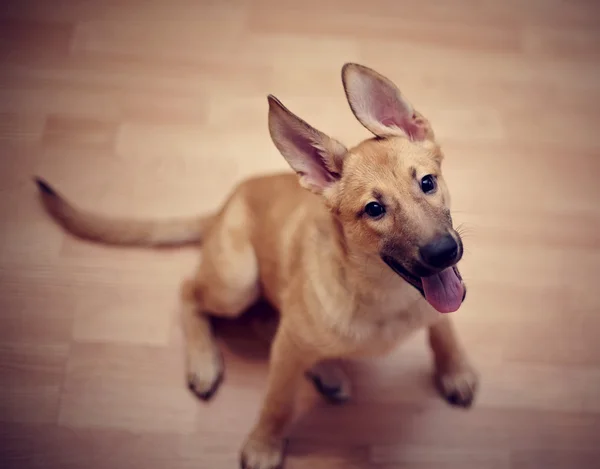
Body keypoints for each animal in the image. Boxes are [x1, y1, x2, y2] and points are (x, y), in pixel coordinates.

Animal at [36, 63, 478, 468]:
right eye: (374, 209)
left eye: (427, 182)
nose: (444, 252)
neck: (386, 295)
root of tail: (221, 208)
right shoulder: (285, 353)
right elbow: (277, 401)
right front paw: (264, 443)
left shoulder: (439, 300)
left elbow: (444, 327)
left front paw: (455, 369)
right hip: (238, 282)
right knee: (191, 291)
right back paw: (206, 360)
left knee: (265, 321)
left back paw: (326, 371)